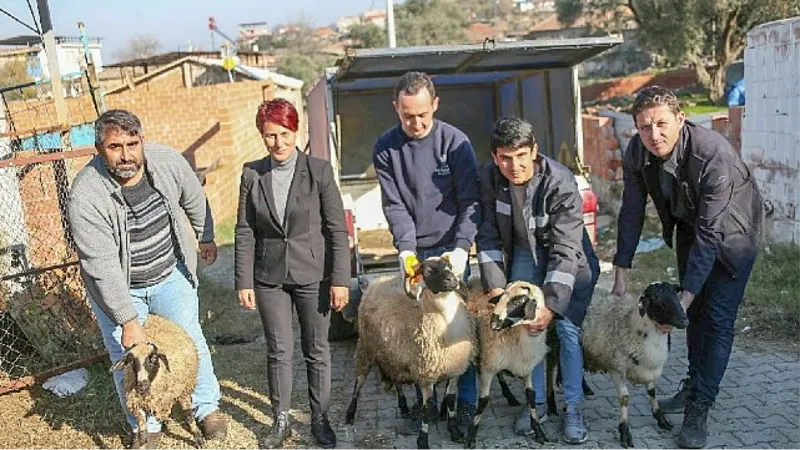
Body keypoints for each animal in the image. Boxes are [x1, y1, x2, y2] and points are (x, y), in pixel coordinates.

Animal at [110, 314, 203, 448]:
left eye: (154, 359)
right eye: (131, 361)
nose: (142, 385)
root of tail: (155, 316)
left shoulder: (181, 392)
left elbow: (189, 415)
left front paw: (198, 438)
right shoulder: (137, 405)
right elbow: (143, 434)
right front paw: (142, 444)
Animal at [344, 256, 476, 450]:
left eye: (450, 266)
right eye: (428, 272)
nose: (451, 280)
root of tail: (378, 281)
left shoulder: (455, 371)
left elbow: (451, 403)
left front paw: (455, 432)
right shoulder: (426, 375)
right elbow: (426, 410)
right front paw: (423, 441)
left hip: (392, 355)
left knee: (396, 380)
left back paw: (404, 407)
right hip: (366, 348)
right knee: (358, 381)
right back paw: (350, 414)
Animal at [552, 282, 688, 446]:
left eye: (676, 296)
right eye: (659, 302)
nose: (684, 321)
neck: (630, 324)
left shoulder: (647, 368)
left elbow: (652, 392)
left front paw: (661, 418)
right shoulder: (616, 368)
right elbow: (624, 398)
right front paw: (624, 431)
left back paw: (585, 387)